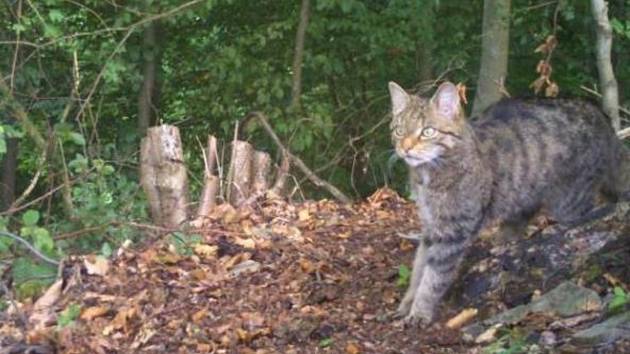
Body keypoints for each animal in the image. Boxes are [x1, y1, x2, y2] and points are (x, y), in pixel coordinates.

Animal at [390, 81, 628, 324]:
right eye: (399, 130)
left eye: (427, 131)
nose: (405, 148)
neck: (427, 175)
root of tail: (599, 114)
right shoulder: (431, 227)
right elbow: (418, 270)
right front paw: (407, 303)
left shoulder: (453, 233)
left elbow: (432, 280)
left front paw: (419, 312)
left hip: (570, 203)